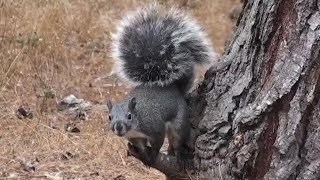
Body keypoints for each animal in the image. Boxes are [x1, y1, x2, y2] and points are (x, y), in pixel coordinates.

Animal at [107, 3, 215, 166]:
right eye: (110, 117)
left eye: (129, 116)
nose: (118, 127)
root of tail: (174, 88)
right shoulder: (135, 137)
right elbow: (139, 145)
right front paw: (141, 152)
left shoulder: (155, 128)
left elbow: (157, 143)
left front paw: (152, 155)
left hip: (179, 122)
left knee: (177, 139)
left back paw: (179, 155)